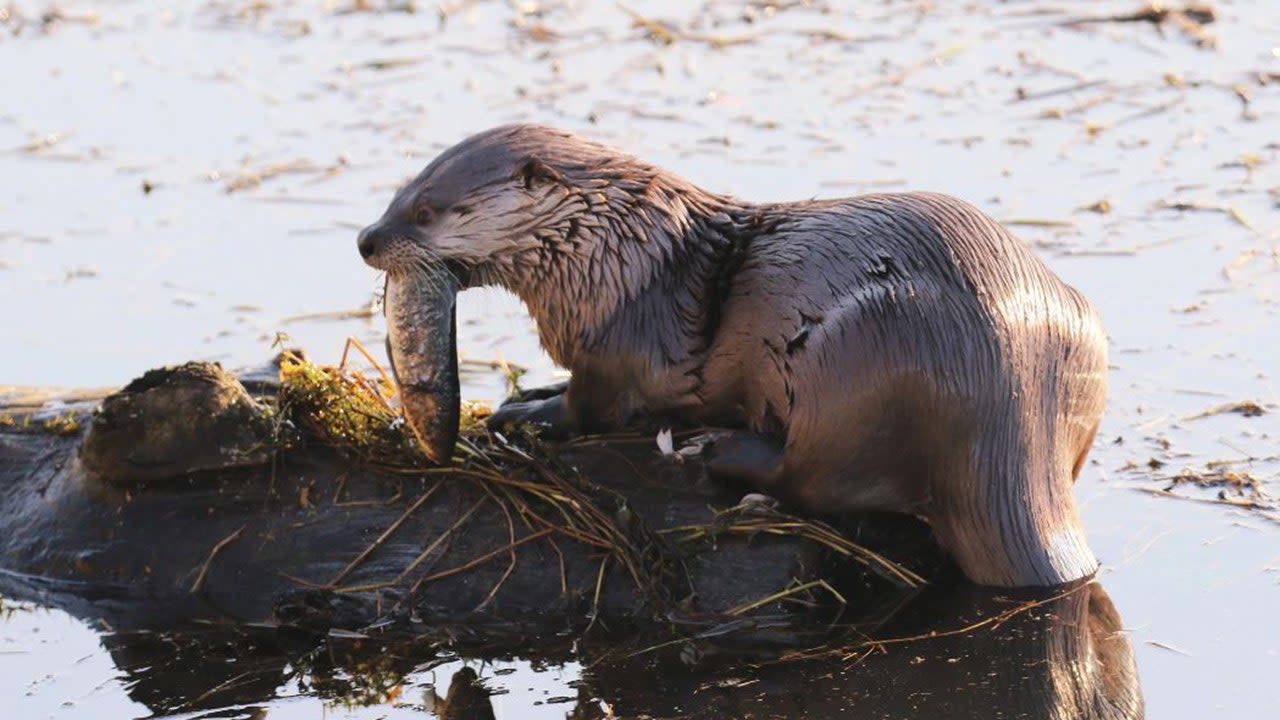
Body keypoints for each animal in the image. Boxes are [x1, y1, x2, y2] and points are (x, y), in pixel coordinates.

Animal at [355, 122, 1105, 586]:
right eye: (398, 192)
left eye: (426, 212)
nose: (366, 238)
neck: (611, 257)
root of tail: (1011, 408)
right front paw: (529, 393)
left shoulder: (617, 346)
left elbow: (593, 407)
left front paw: (528, 414)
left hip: (865, 359)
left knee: (812, 480)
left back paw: (719, 450)